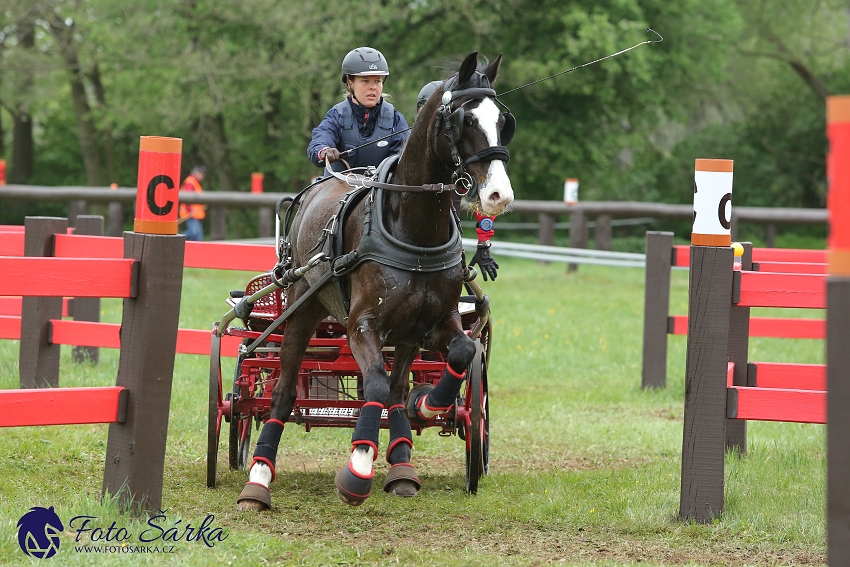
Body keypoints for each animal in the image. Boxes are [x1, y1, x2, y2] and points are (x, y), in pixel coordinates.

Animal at [235, 51, 512, 510]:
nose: (498, 196)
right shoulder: (362, 325)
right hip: (303, 309)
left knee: (397, 387)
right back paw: (258, 478)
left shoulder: (432, 323)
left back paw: (401, 464)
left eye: (503, 119)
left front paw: (426, 406)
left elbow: (458, 354)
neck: (414, 231)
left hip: (403, 336)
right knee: (283, 391)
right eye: (465, 119)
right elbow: (376, 385)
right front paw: (358, 467)